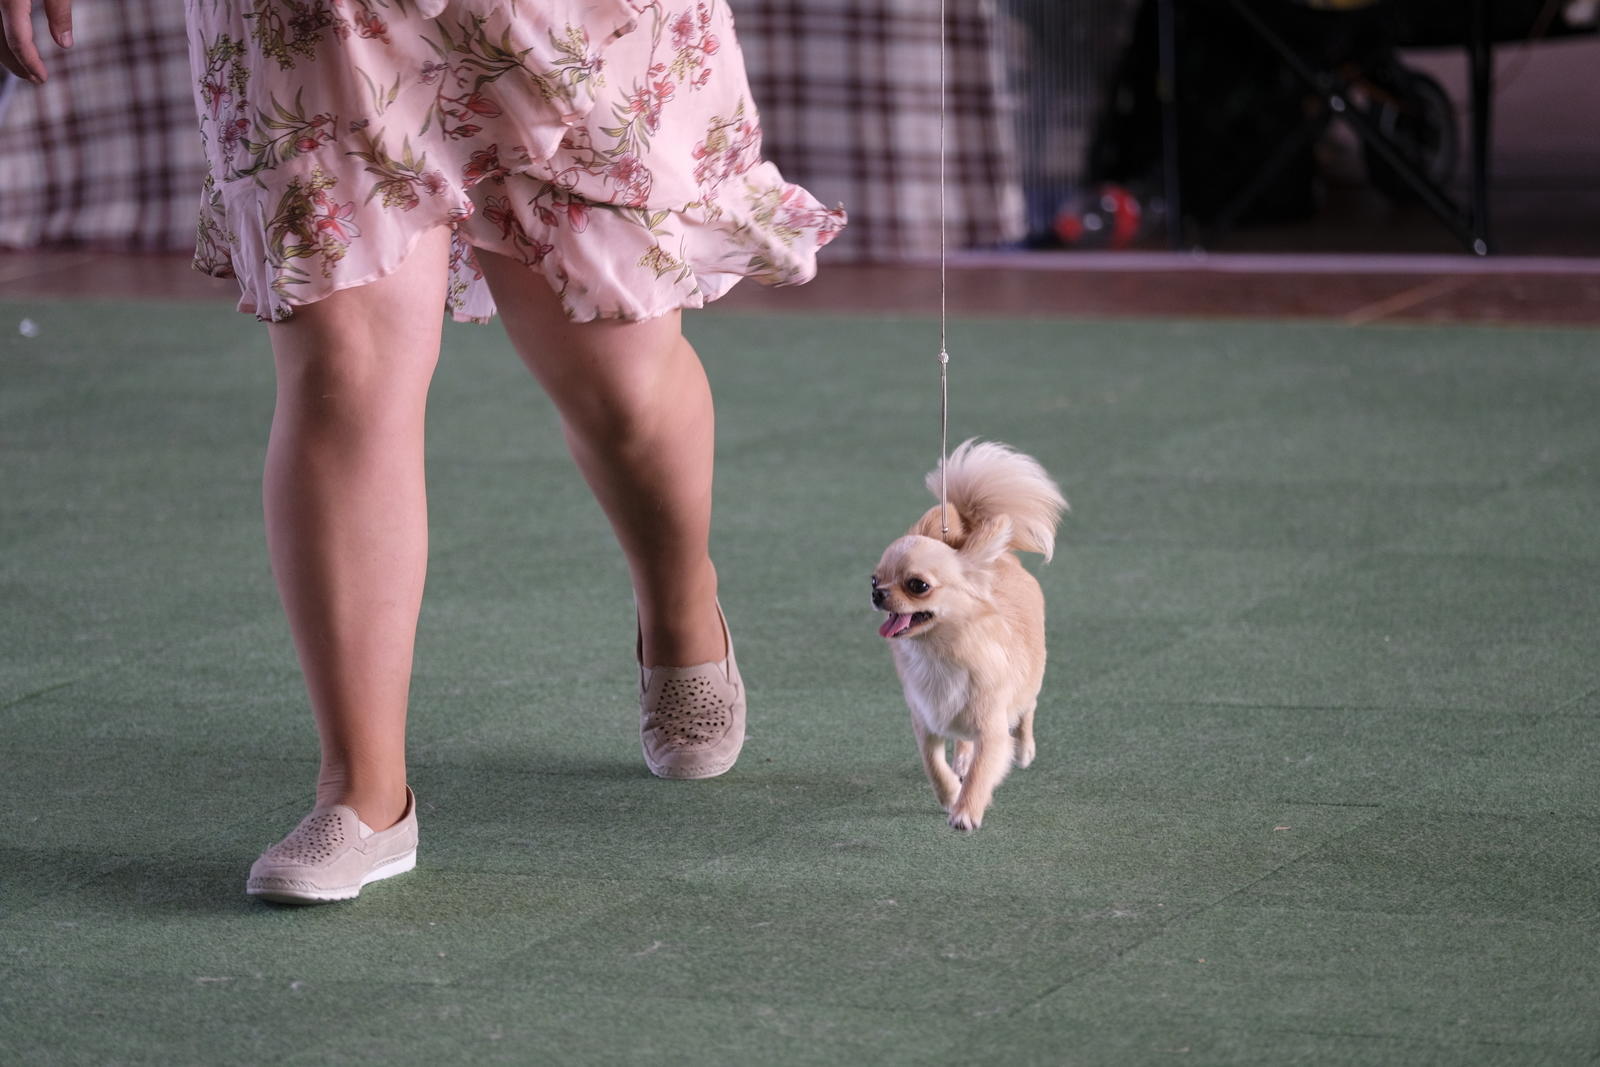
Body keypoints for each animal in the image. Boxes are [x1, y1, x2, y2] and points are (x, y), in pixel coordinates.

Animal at [871, 439, 1067, 831]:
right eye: (874, 579)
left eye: (918, 585)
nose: (877, 594)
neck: (936, 654)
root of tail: (1002, 559)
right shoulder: (926, 723)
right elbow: (934, 765)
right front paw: (950, 795)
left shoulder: (991, 729)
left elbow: (982, 769)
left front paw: (966, 811)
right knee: (963, 742)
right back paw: (960, 758)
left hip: (1030, 679)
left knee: (1028, 710)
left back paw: (1025, 750)